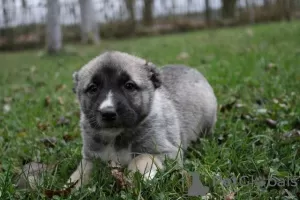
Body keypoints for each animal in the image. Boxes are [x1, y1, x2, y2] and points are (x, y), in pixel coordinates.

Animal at [67, 50, 217, 188]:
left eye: (129, 86)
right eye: (93, 88)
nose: (108, 113)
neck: (116, 136)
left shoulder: (165, 152)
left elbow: (141, 158)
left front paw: (134, 180)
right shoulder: (91, 157)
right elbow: (81, 172)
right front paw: (72, 186)